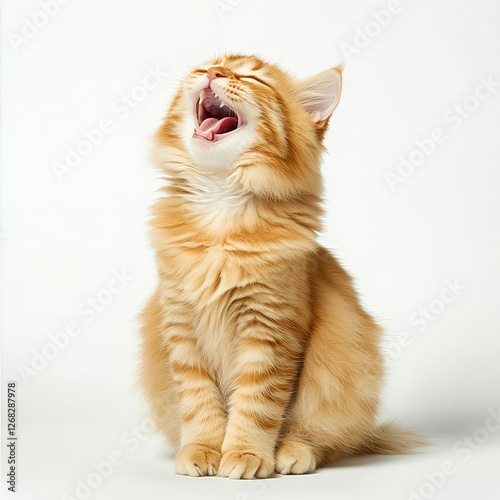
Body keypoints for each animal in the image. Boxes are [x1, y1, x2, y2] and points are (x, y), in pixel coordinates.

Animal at [139, 52, 424, 478]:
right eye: (205, 66)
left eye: (251, 78)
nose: (214, 73)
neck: (220, 206)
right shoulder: (180, 326)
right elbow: (198, 400)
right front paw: (203, 449)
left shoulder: (271, 326)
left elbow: (256, 404)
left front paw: (245, 454)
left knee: (326, 440)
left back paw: (293, 453)